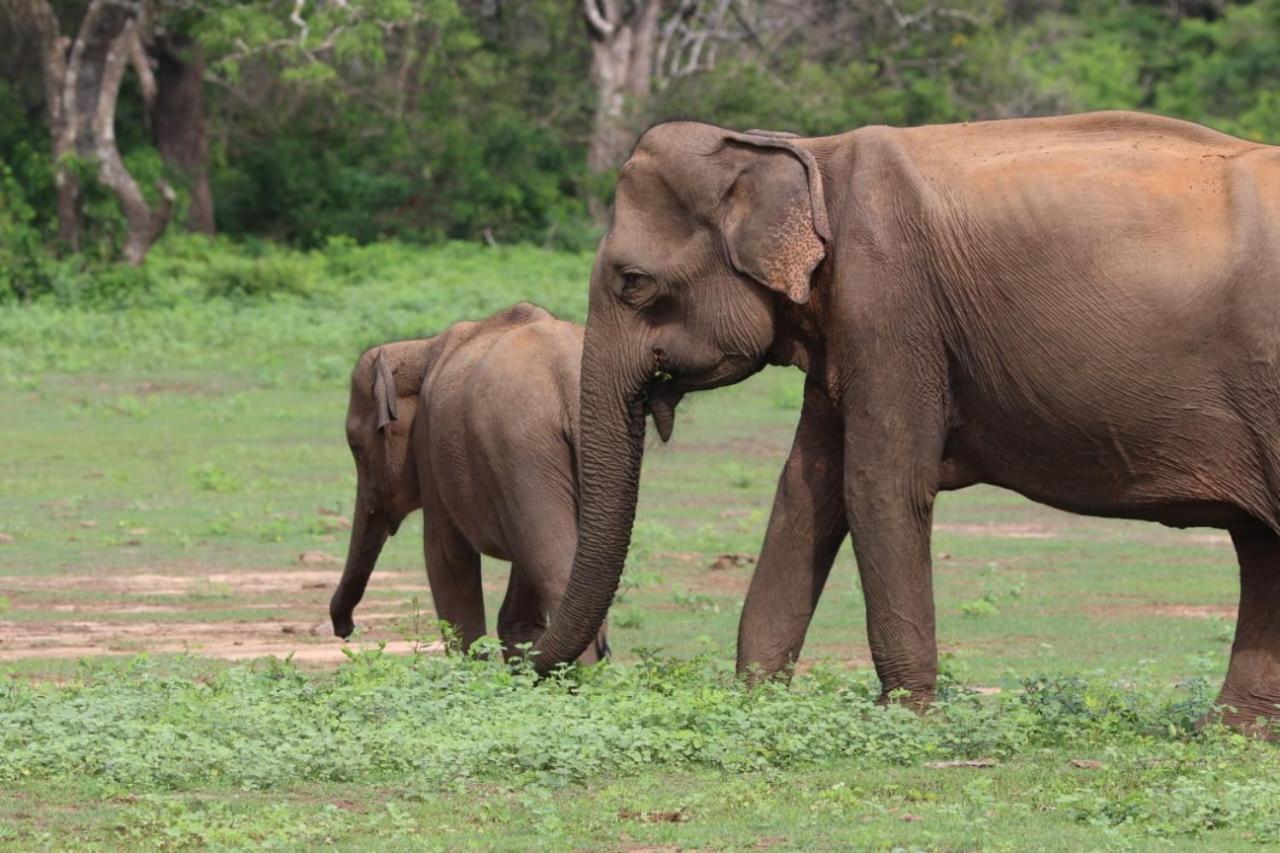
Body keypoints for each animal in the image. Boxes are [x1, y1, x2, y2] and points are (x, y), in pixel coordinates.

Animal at [330, 302, 609, 660]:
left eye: (355, 446)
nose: (346, 629)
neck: (421, 348)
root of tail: (569, 383)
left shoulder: (430, 442)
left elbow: (445, 557)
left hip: (522, 451)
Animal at [532, 108, 1280, 732]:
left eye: (632, 282)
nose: (529, 664)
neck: (806, 153)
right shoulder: (848, 330)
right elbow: (805, 491)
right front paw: (755, 702)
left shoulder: (888, 302)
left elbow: (878, 486)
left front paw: (907, 719)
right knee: (1261, 545)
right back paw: (1230, 734)